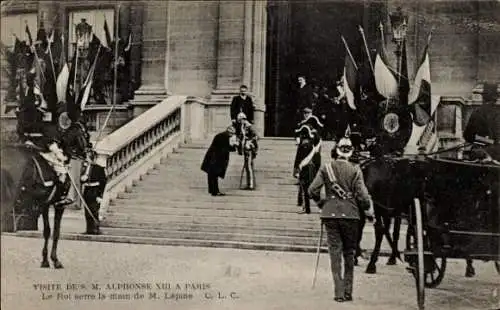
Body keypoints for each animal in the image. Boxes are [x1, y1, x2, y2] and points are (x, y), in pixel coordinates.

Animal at [0, 118, 91, 268]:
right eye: (85, 135)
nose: (89, 154)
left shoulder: (47, 205)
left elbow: (51, 232)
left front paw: (48, 260)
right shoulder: (56, 204)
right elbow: (53, 232)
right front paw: (52, 260)